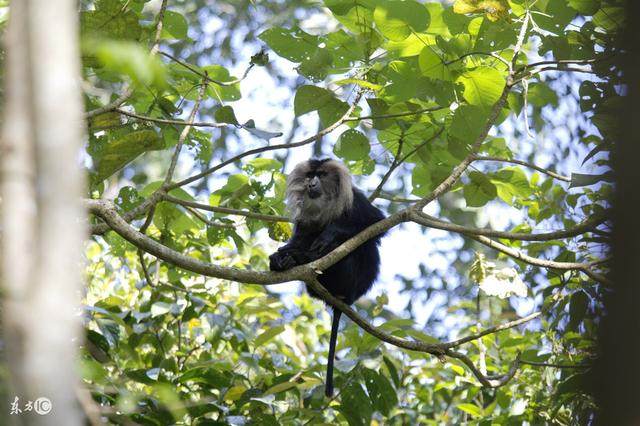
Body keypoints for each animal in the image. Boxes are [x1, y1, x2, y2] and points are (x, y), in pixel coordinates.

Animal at [268, 158, 382, 398]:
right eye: (310, 175)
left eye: (320, 174)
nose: (312, 183)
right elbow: (300, 237)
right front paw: (282, 256)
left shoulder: (357, 201)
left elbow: (375, 224)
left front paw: (329, 235)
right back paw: (290, 260)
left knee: (361, 247)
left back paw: (307, 256)